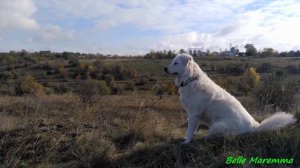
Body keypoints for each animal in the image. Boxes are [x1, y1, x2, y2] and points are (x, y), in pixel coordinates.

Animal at [165, 53, 296, 143]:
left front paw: (186, 142)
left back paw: (207, 136)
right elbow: (193, 129)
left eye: (175, 63)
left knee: (221, 135)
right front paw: (188, 138)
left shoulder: (194, 114)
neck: (191, 79)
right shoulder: (195, 116)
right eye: (172, 62)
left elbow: (190, 129)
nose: (165, 68)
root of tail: (255, 126)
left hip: (217, 126)